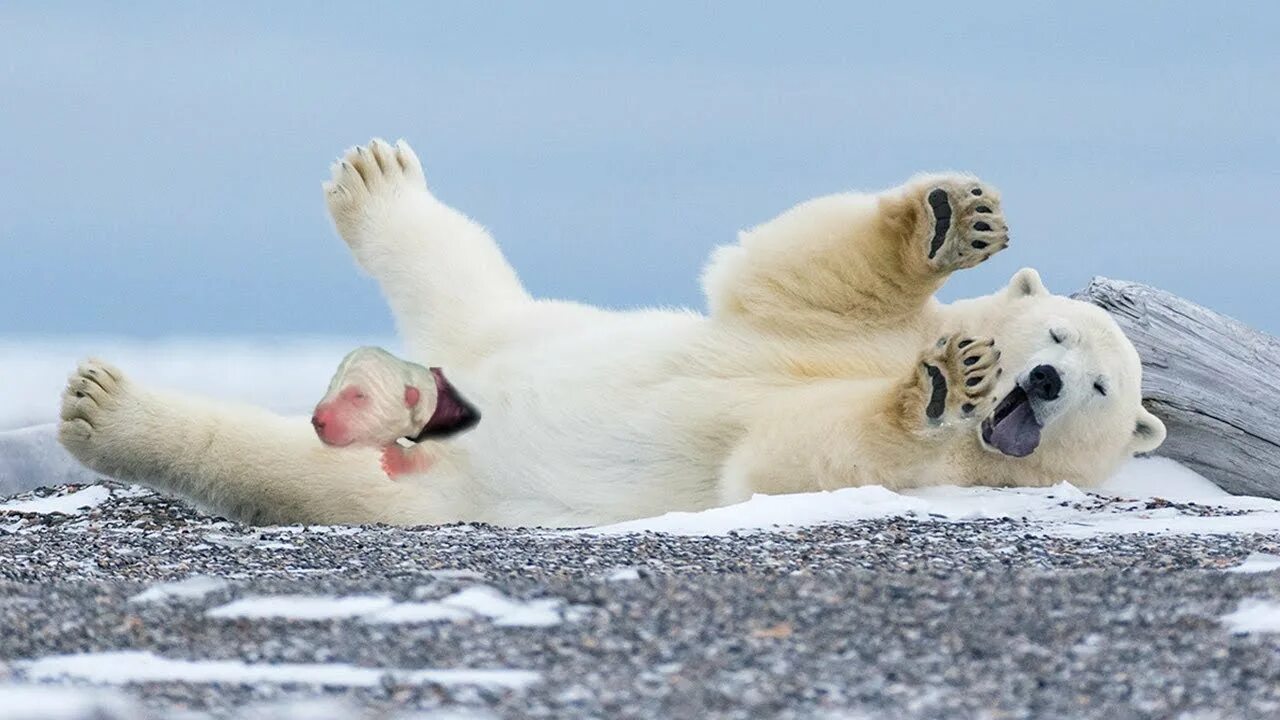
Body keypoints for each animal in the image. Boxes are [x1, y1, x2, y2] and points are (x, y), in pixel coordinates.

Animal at [57, 137, 1162, 525]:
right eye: (1058, 335)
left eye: (1103, 390)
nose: (1043, 386)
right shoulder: (800, 328)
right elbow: (790, 275)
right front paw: (949, 221)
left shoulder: (921, 472)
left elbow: (783, 459)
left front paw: (934, 389)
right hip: (519, 330)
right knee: (458, 269)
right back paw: (376, 178)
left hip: (426, 481)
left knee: (281, 462)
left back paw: (107, 407)